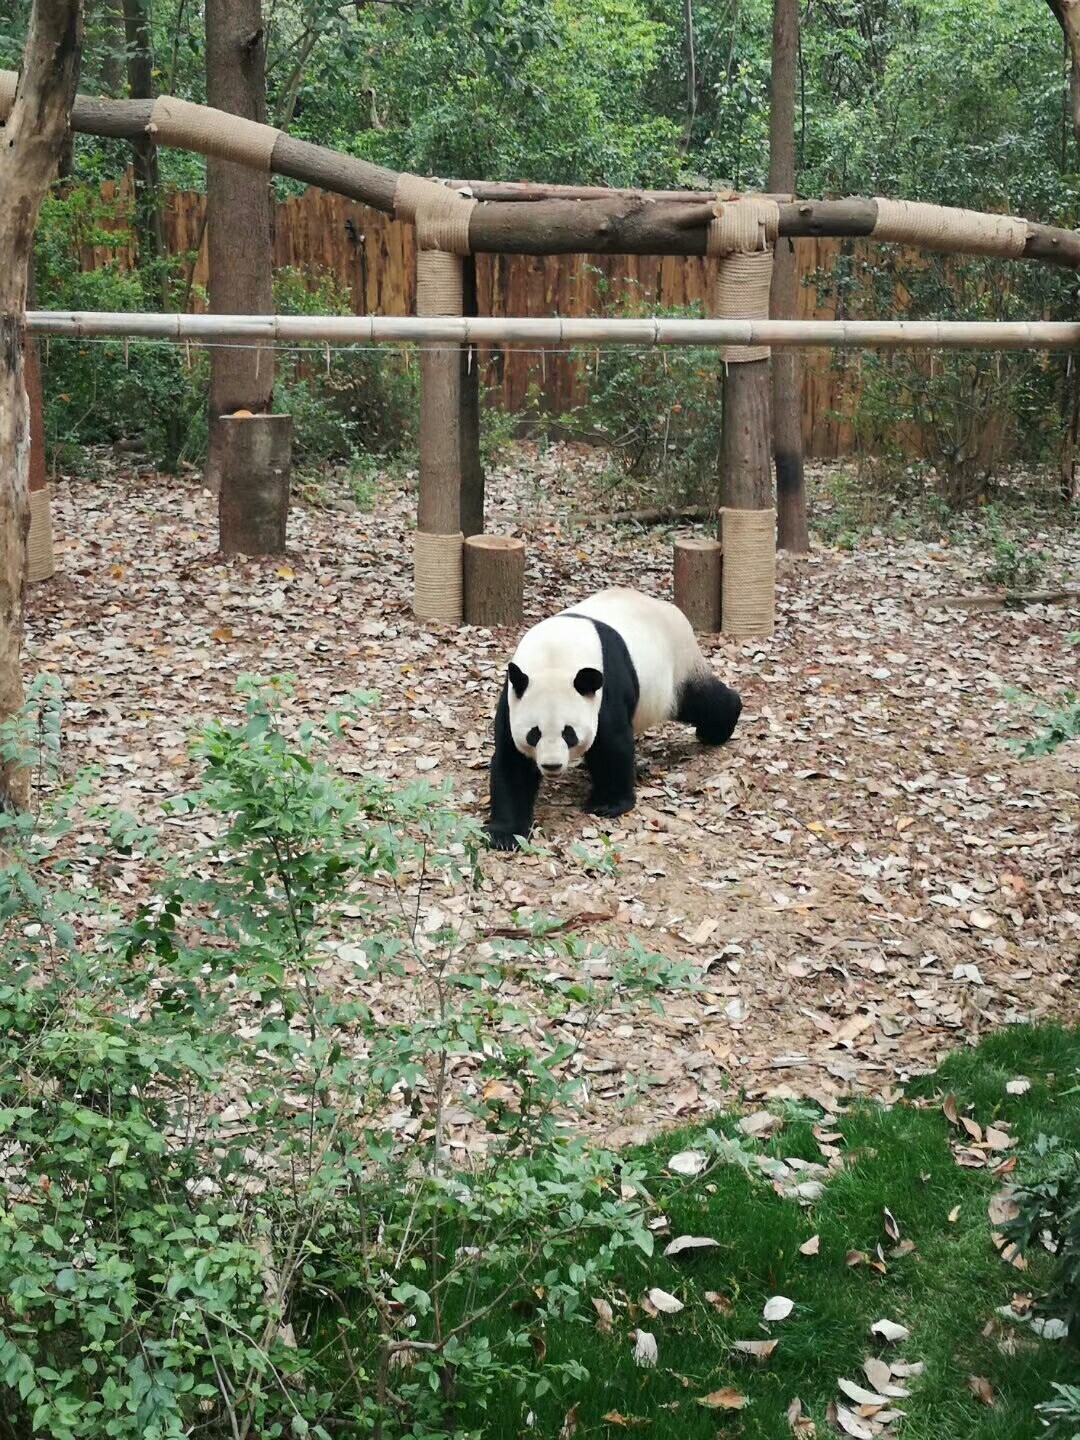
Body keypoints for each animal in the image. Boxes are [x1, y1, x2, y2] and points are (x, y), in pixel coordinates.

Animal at [489, 587, 743, 846]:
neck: (555, 655)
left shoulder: (606, 685)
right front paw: (506, 834)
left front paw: (607, 804)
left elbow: (612, 744)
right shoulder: (513, 696)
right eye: (534, 734)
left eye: (569, 733)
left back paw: (719, 727)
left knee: (702, 701)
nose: (552, 765)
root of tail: (669, 608)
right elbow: (513, 762)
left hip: (676, 667)